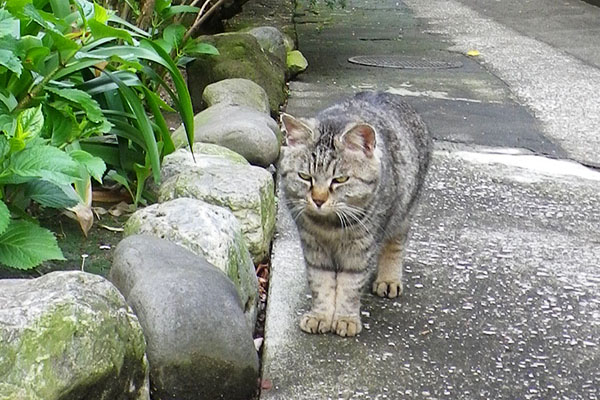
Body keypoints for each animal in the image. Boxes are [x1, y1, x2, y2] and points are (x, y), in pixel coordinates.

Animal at [278, 91, 428, 338]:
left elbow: (350, 285)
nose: (318, 200)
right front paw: (321, 315)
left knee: (395, 246)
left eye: (340, 179)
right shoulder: (313, 246)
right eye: (304, 176)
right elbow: (321, 282)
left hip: (404, 214)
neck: (330, 226)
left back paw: (388, 279)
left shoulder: (360, 249)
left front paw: (345, 319)